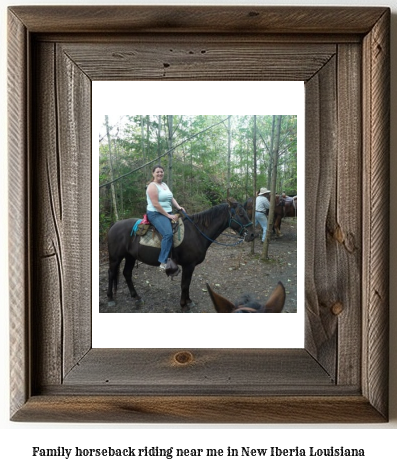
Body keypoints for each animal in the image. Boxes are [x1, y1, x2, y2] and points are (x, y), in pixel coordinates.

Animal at [106, 198, 252, 310]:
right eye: (240, 213)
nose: (252, 234)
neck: (197, 232)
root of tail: (114, 225)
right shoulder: (188, 265)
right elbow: (185, 284)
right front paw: (183, 305)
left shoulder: (190, 266)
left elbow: (187, 284)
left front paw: (188, 301)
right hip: (115, 258)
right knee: (112, 273)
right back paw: (110, 298)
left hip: (130, 256)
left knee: (127, 273)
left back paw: (136, 296)